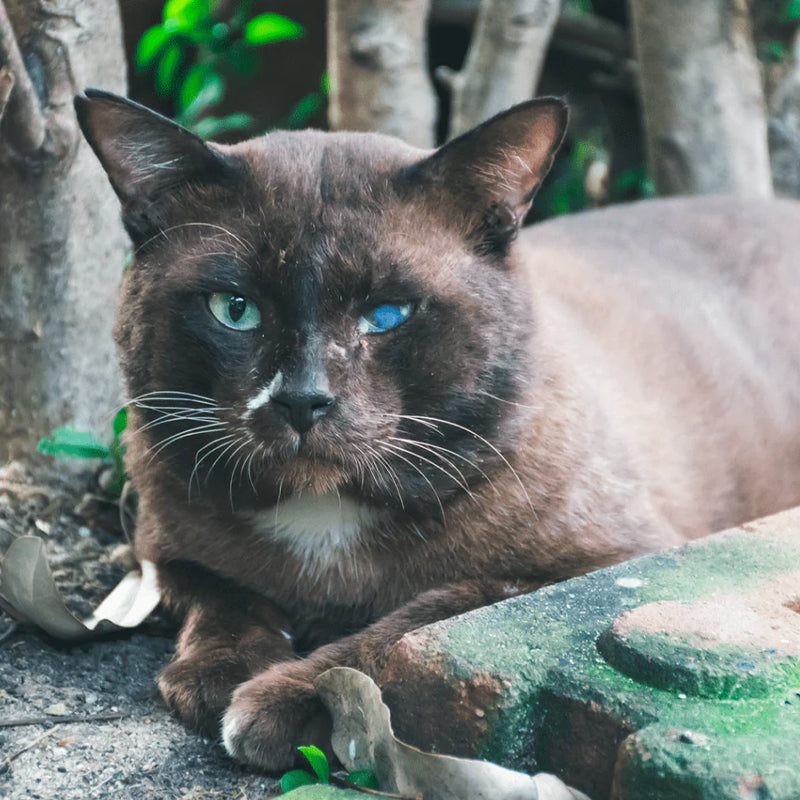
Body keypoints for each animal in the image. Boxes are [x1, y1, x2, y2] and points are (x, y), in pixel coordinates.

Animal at [73, 90, 800, 772]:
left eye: (388, 314)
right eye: (235, 309)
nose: (304, 400)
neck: (325, 522)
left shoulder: (608, 565)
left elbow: (419, 619)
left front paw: (283, 697)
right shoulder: (160, 548)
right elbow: (218, 591)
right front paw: (218, 672)